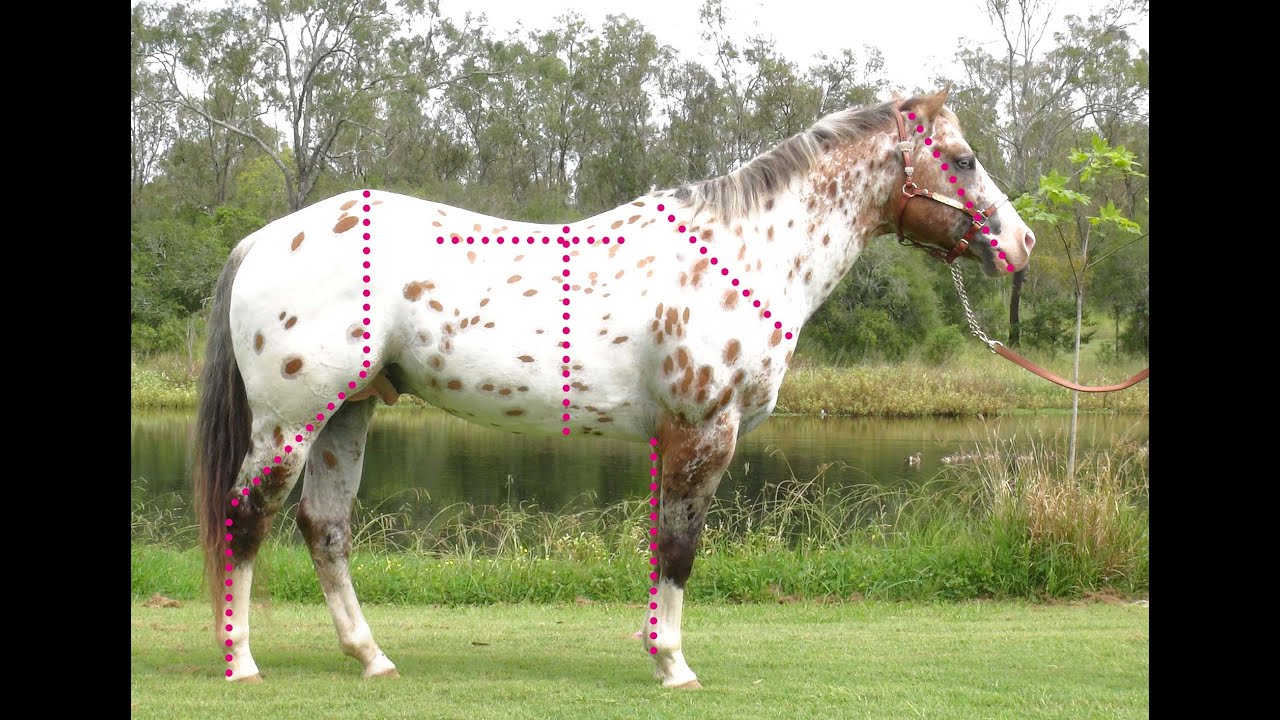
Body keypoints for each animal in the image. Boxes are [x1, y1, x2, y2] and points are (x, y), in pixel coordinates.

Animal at [195, 89, 1036, 687]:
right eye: (962, 159)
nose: (1022, 243)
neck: (742, 257)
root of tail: (262, 239)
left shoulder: (674, 440)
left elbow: (661, 545)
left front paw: (656, 649)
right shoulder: (704, 432)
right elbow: (681, 548)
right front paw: (675, 666)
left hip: (349, 414)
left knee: (324, 527)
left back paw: (371, 657)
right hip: (289, 423)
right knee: (248, 518)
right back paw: (241, 662)